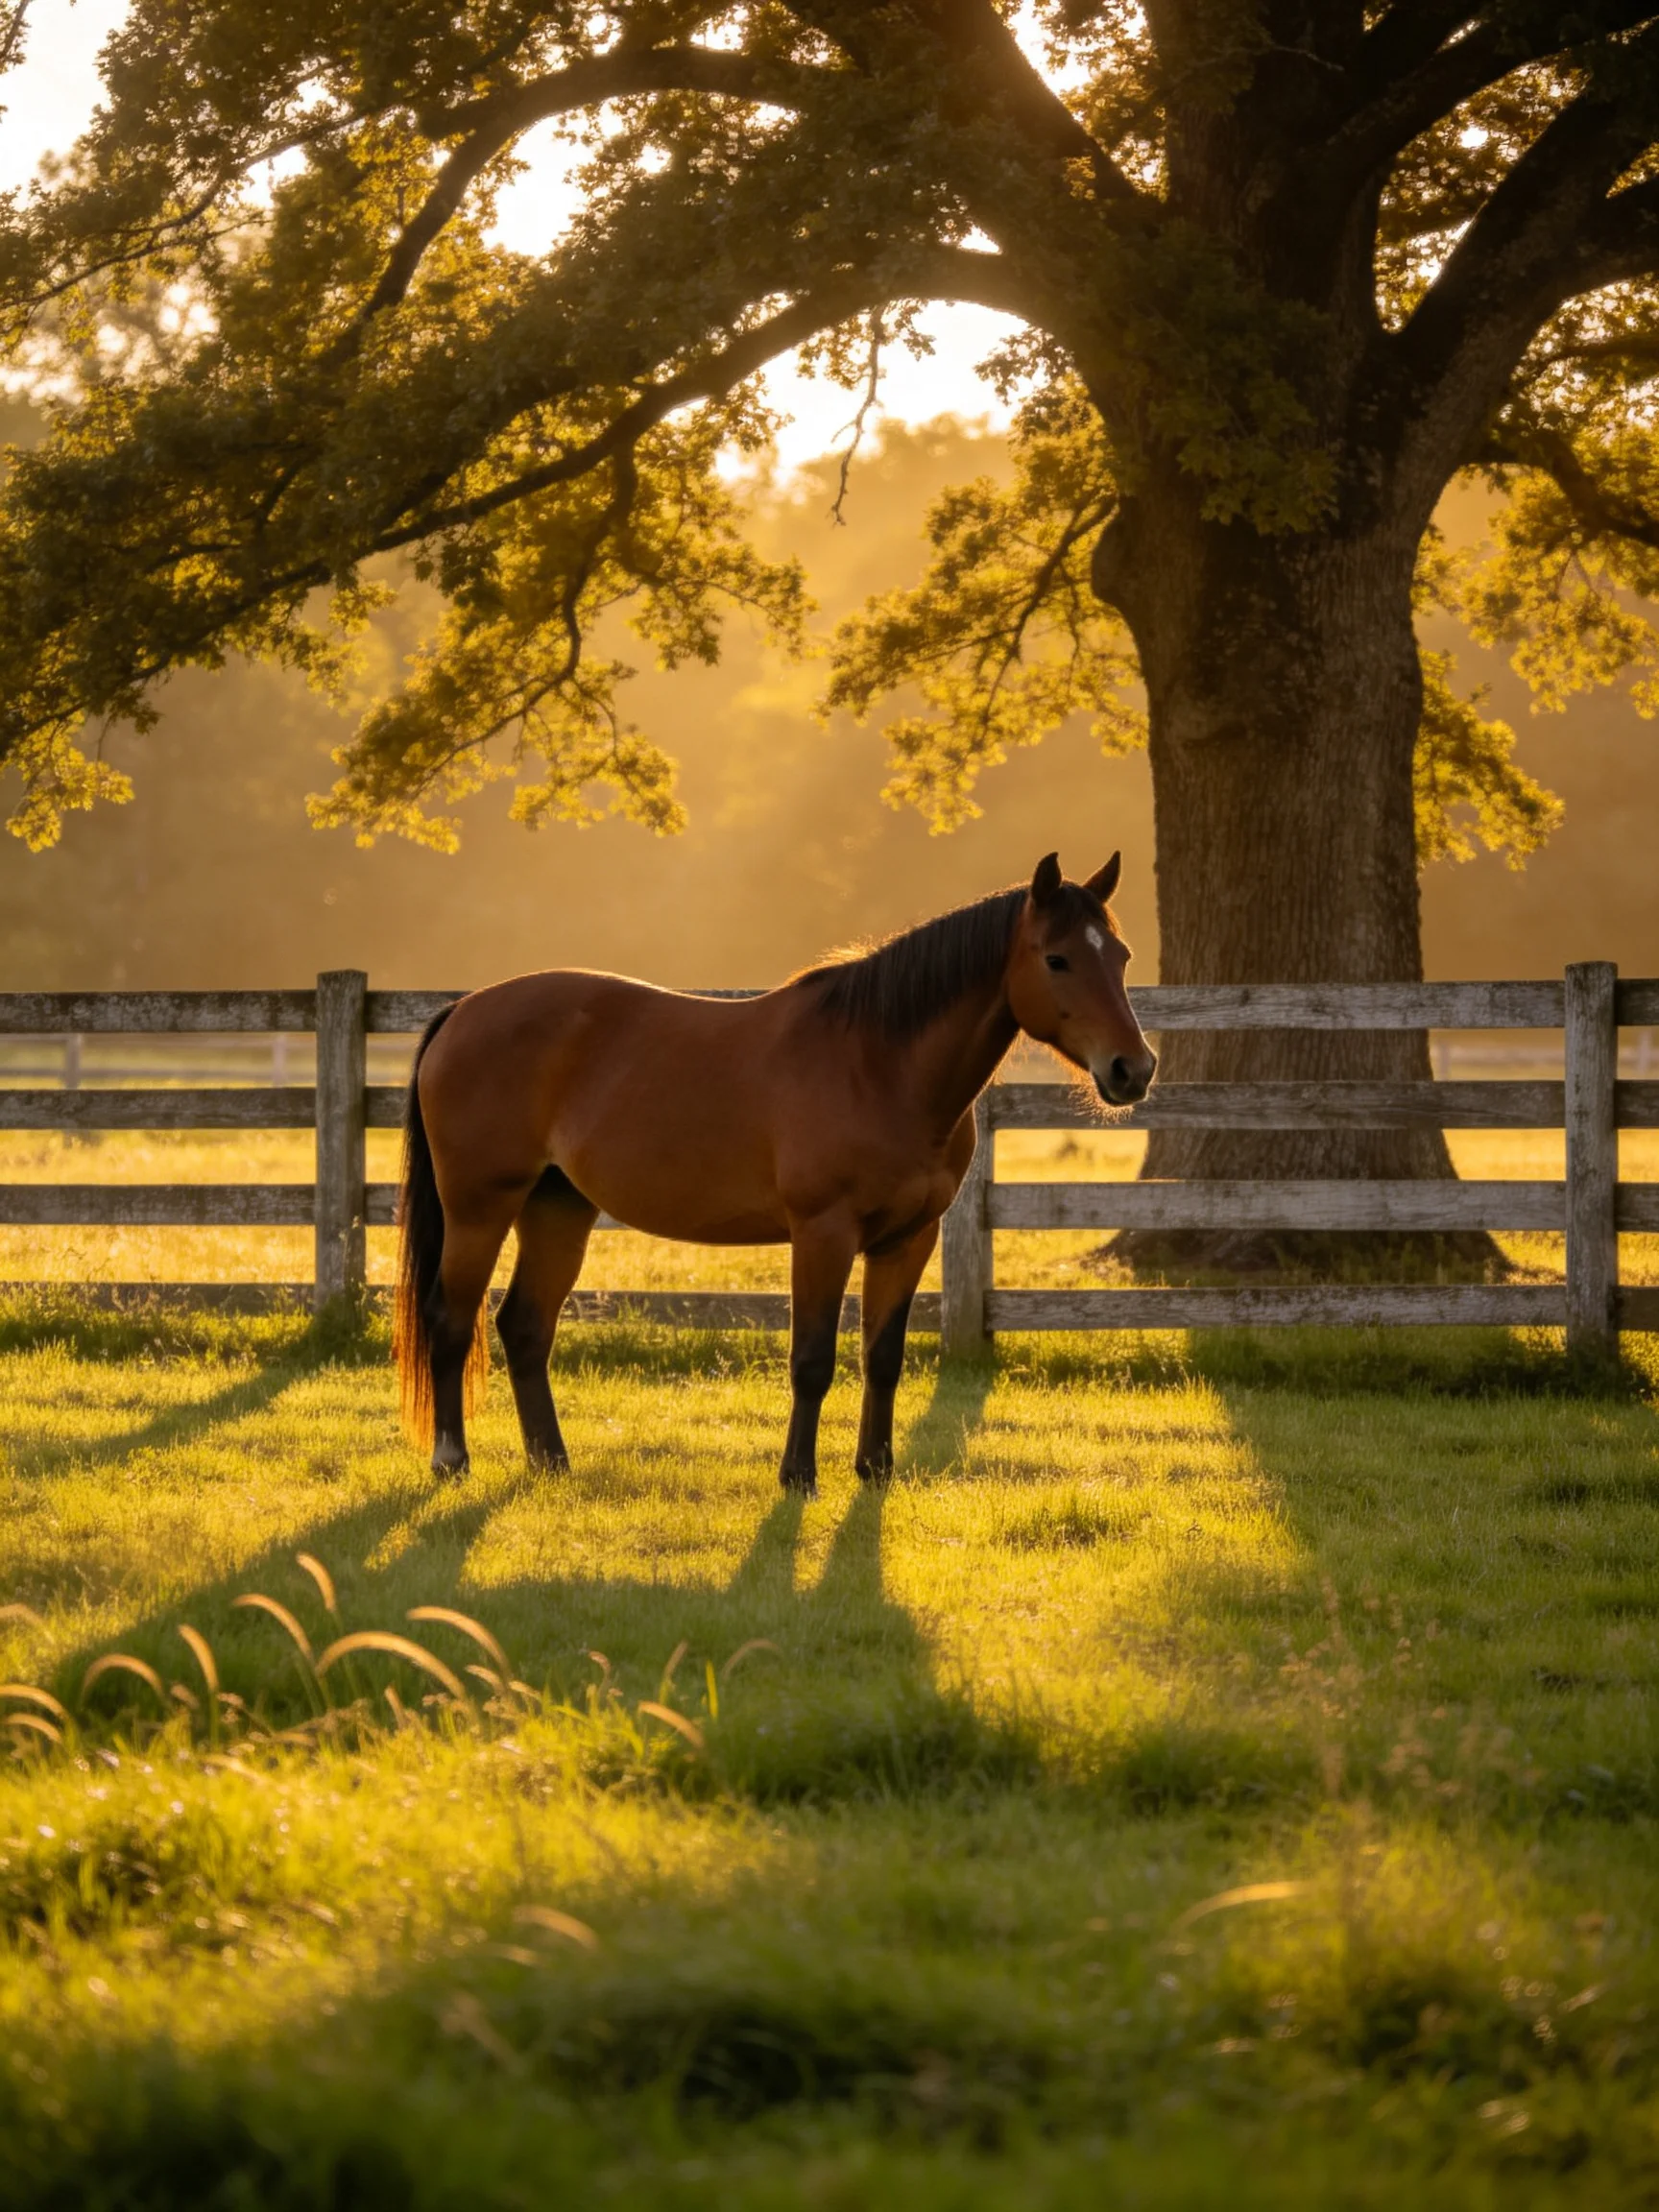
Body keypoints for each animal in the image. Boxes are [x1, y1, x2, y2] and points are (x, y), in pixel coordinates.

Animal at [395, 849, 1156, 1496]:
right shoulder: (823, 1234)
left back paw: (551, 1462)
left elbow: (883, 1356)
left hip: (557, 1209)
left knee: (524, 1326)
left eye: (1119, 955)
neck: (878, 1065)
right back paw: (451, 1460)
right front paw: (798, 1476)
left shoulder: (908, 1239)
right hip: (479, 1208)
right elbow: (812, 1359)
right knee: (451, 1318)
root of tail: (463, 1009)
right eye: (1056, 958)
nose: (1133, 1068)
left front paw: (875, 1470)